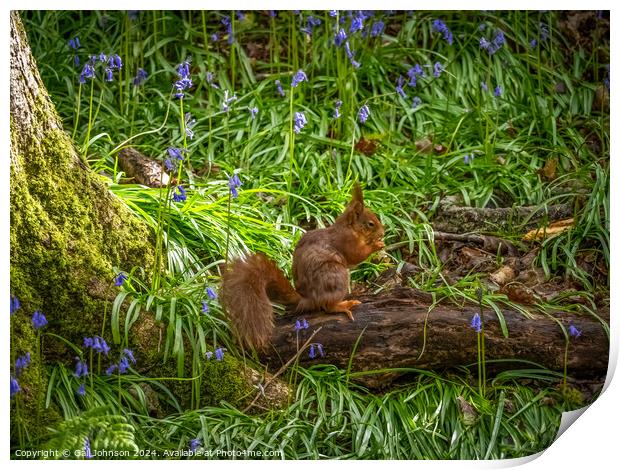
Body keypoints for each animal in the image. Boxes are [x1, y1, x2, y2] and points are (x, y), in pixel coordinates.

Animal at [218, 185, 382, 350]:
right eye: (371, 224)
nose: (383, 233)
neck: (349, 228)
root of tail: (307, 299)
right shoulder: (346, 241)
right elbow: (356, 255)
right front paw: (377, 245)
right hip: (336, 275)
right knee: (328, 306)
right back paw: (344, 305)